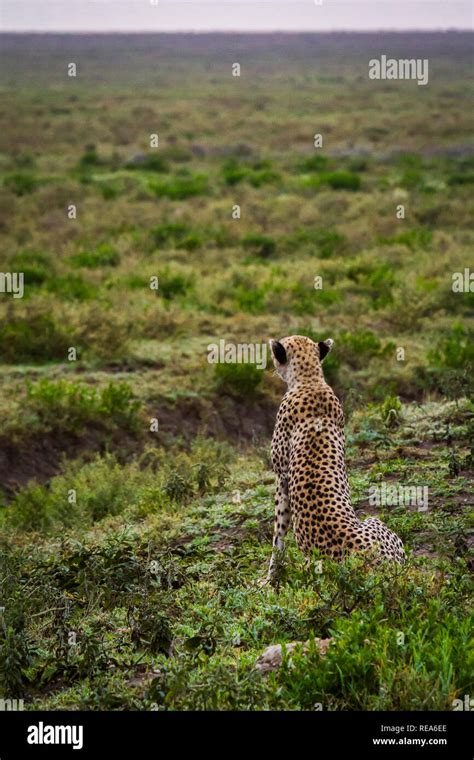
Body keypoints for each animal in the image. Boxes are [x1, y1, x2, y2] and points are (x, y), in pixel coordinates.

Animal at [264, 334, 406, 580]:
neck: (310, 380)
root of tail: (376, 566)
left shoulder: (281, 478)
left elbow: (278, 534)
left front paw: (270, 578)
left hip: (374, 521)